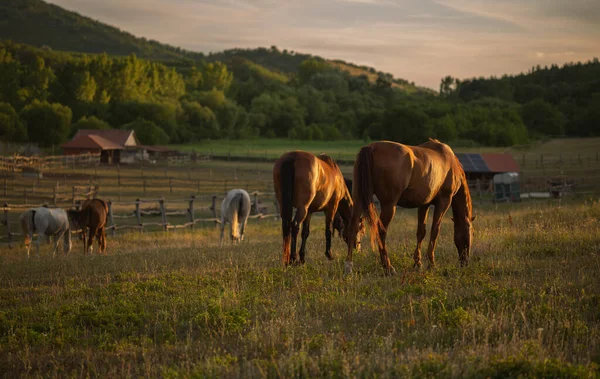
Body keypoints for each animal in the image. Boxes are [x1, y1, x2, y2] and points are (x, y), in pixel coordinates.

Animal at [344, 140, 476, 276]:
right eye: (471, 233)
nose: (465, 262)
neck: (450, 162)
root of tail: (371, 147)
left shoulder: (424, 204)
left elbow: (421, 232)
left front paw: (418, 263)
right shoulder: (444, 201)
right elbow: (435, 231)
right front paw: (431, 264)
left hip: (358, 199)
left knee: (352, 228)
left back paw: (349, 266)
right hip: (389, 205)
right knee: (381, 231)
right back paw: (388, 267)